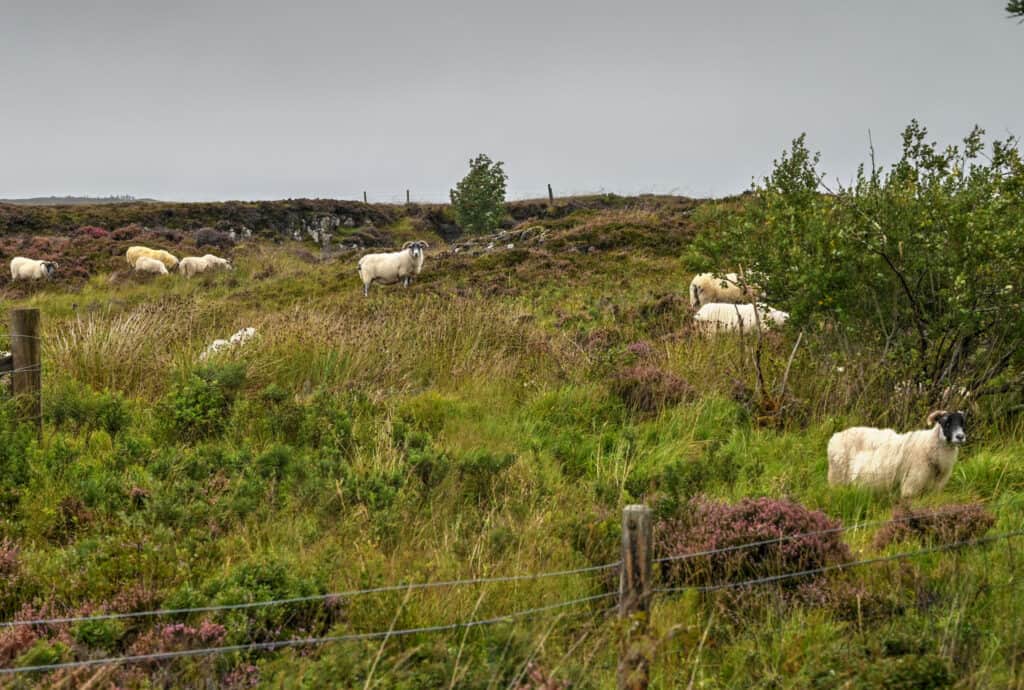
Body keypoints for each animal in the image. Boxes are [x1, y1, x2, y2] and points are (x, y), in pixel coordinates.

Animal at [827, 405, 962, 497]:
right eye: (946, 422)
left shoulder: (935, 488)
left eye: (962, 423)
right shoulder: (911, 485)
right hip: (837, 478)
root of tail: (835, 437)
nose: (960, 437)